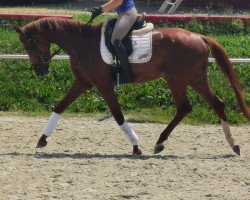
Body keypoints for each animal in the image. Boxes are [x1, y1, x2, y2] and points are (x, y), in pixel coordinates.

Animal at [15, 17, 248, 155]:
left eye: (30, 44)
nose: (39, 71)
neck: (82, 43)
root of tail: (197, 35)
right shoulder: (82, 82)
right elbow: (59, 107)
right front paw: (42, 139)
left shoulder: (104, 85)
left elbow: (118, 115)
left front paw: (136, 146)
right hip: (195, 79)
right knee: (217, 104)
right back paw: (233, 144)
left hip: (176, 79)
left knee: (185, 107)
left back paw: (160, 142)